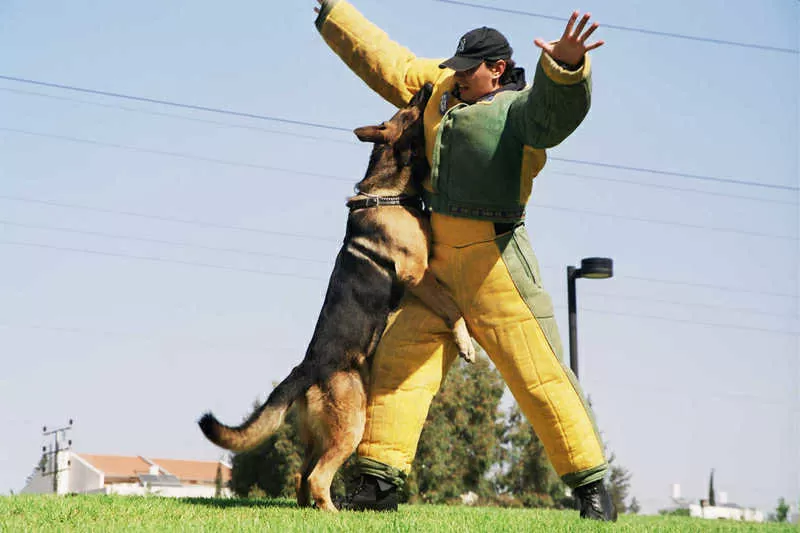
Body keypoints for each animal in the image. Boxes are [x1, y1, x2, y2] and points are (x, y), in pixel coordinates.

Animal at [202, 84, 476, 512]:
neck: (388, 192)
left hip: (323, 430)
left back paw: (313, 510)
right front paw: (465, 342)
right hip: (351, 424)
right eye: (408, 108)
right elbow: (452, 306)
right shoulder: (417, 272)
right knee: (316, 477)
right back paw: (332, 512)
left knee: (302, 476)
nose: (427, 87)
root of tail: (307, 368)